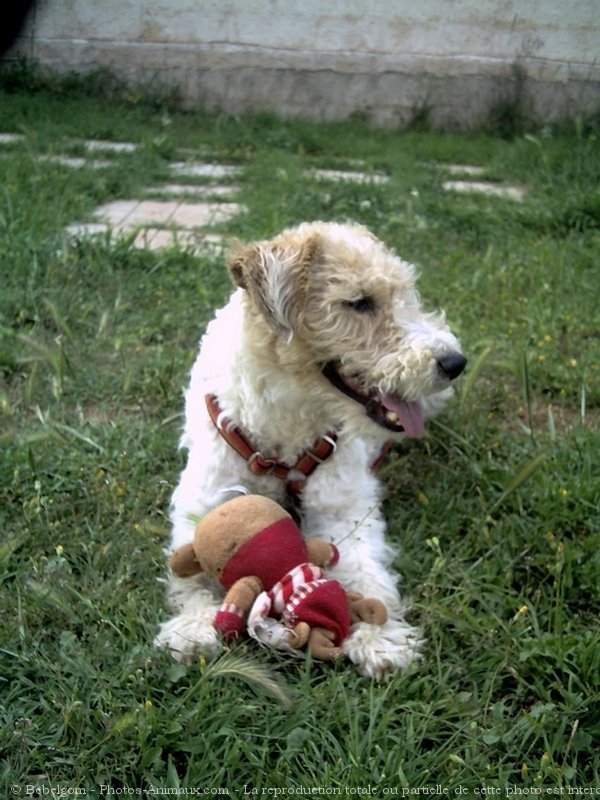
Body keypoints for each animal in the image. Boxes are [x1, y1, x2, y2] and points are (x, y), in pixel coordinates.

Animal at [154, 222, 464, 680]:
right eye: (359, 302)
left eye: (405, 292)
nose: (455, 363)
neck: (286, 427)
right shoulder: (205, 500)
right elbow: (189, 570)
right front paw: (192, 630)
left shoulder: (346, 510)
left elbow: (367, 573)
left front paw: (380, 641)